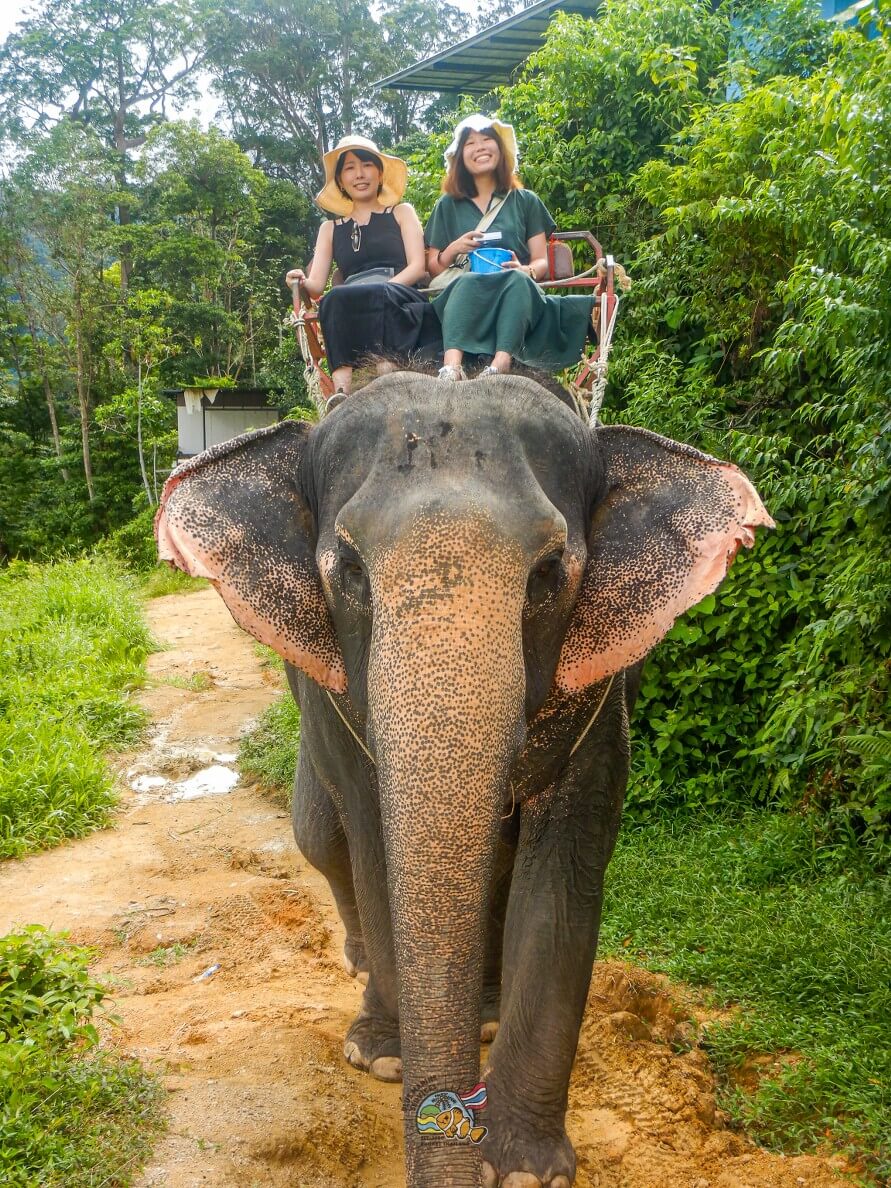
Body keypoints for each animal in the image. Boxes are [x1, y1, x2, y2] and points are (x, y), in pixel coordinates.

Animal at [156, 370, 773, 1188]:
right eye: (350, 572)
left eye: (548, 575)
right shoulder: (334, 696)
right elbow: (375, 844)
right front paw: (390, 1063)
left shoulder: (602, 691)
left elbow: (564, 867)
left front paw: (522, 1169)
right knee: (320, 837)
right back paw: (372, 1020)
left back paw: (482, 1013)